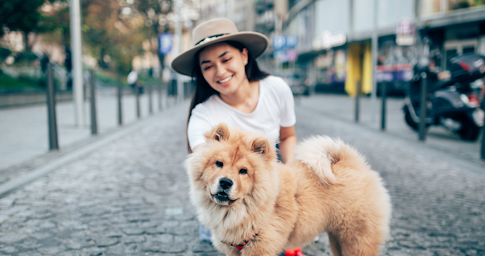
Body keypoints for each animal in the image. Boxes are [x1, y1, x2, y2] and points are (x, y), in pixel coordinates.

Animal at [183, 123, 392, 255]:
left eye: (244, 171)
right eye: (219, 163)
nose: (226, 182)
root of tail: (354, 165)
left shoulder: (260, 248)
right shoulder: (233, 250)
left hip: (356, 239)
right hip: (337, 237)